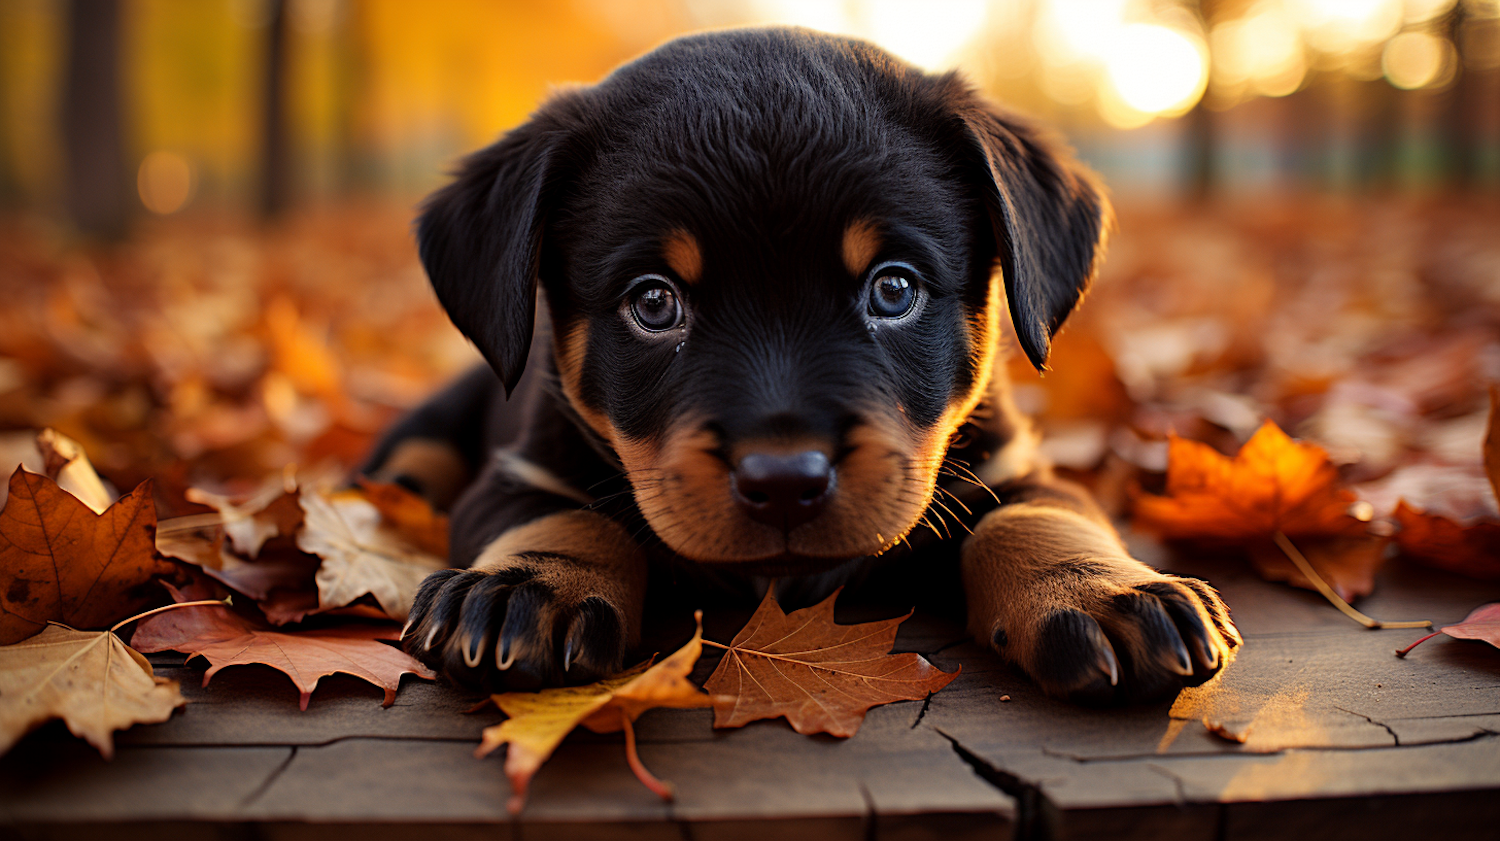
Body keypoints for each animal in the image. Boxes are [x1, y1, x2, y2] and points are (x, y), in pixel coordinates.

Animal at [369, 27, 1236, 701]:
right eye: (653, 303)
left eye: (893, 288)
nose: (785, 479)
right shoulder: (519, 470)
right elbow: (563, 515)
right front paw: (523, 589)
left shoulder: (1013, 465)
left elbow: (1040, 518)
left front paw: (1105, 590)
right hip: (422, 436)